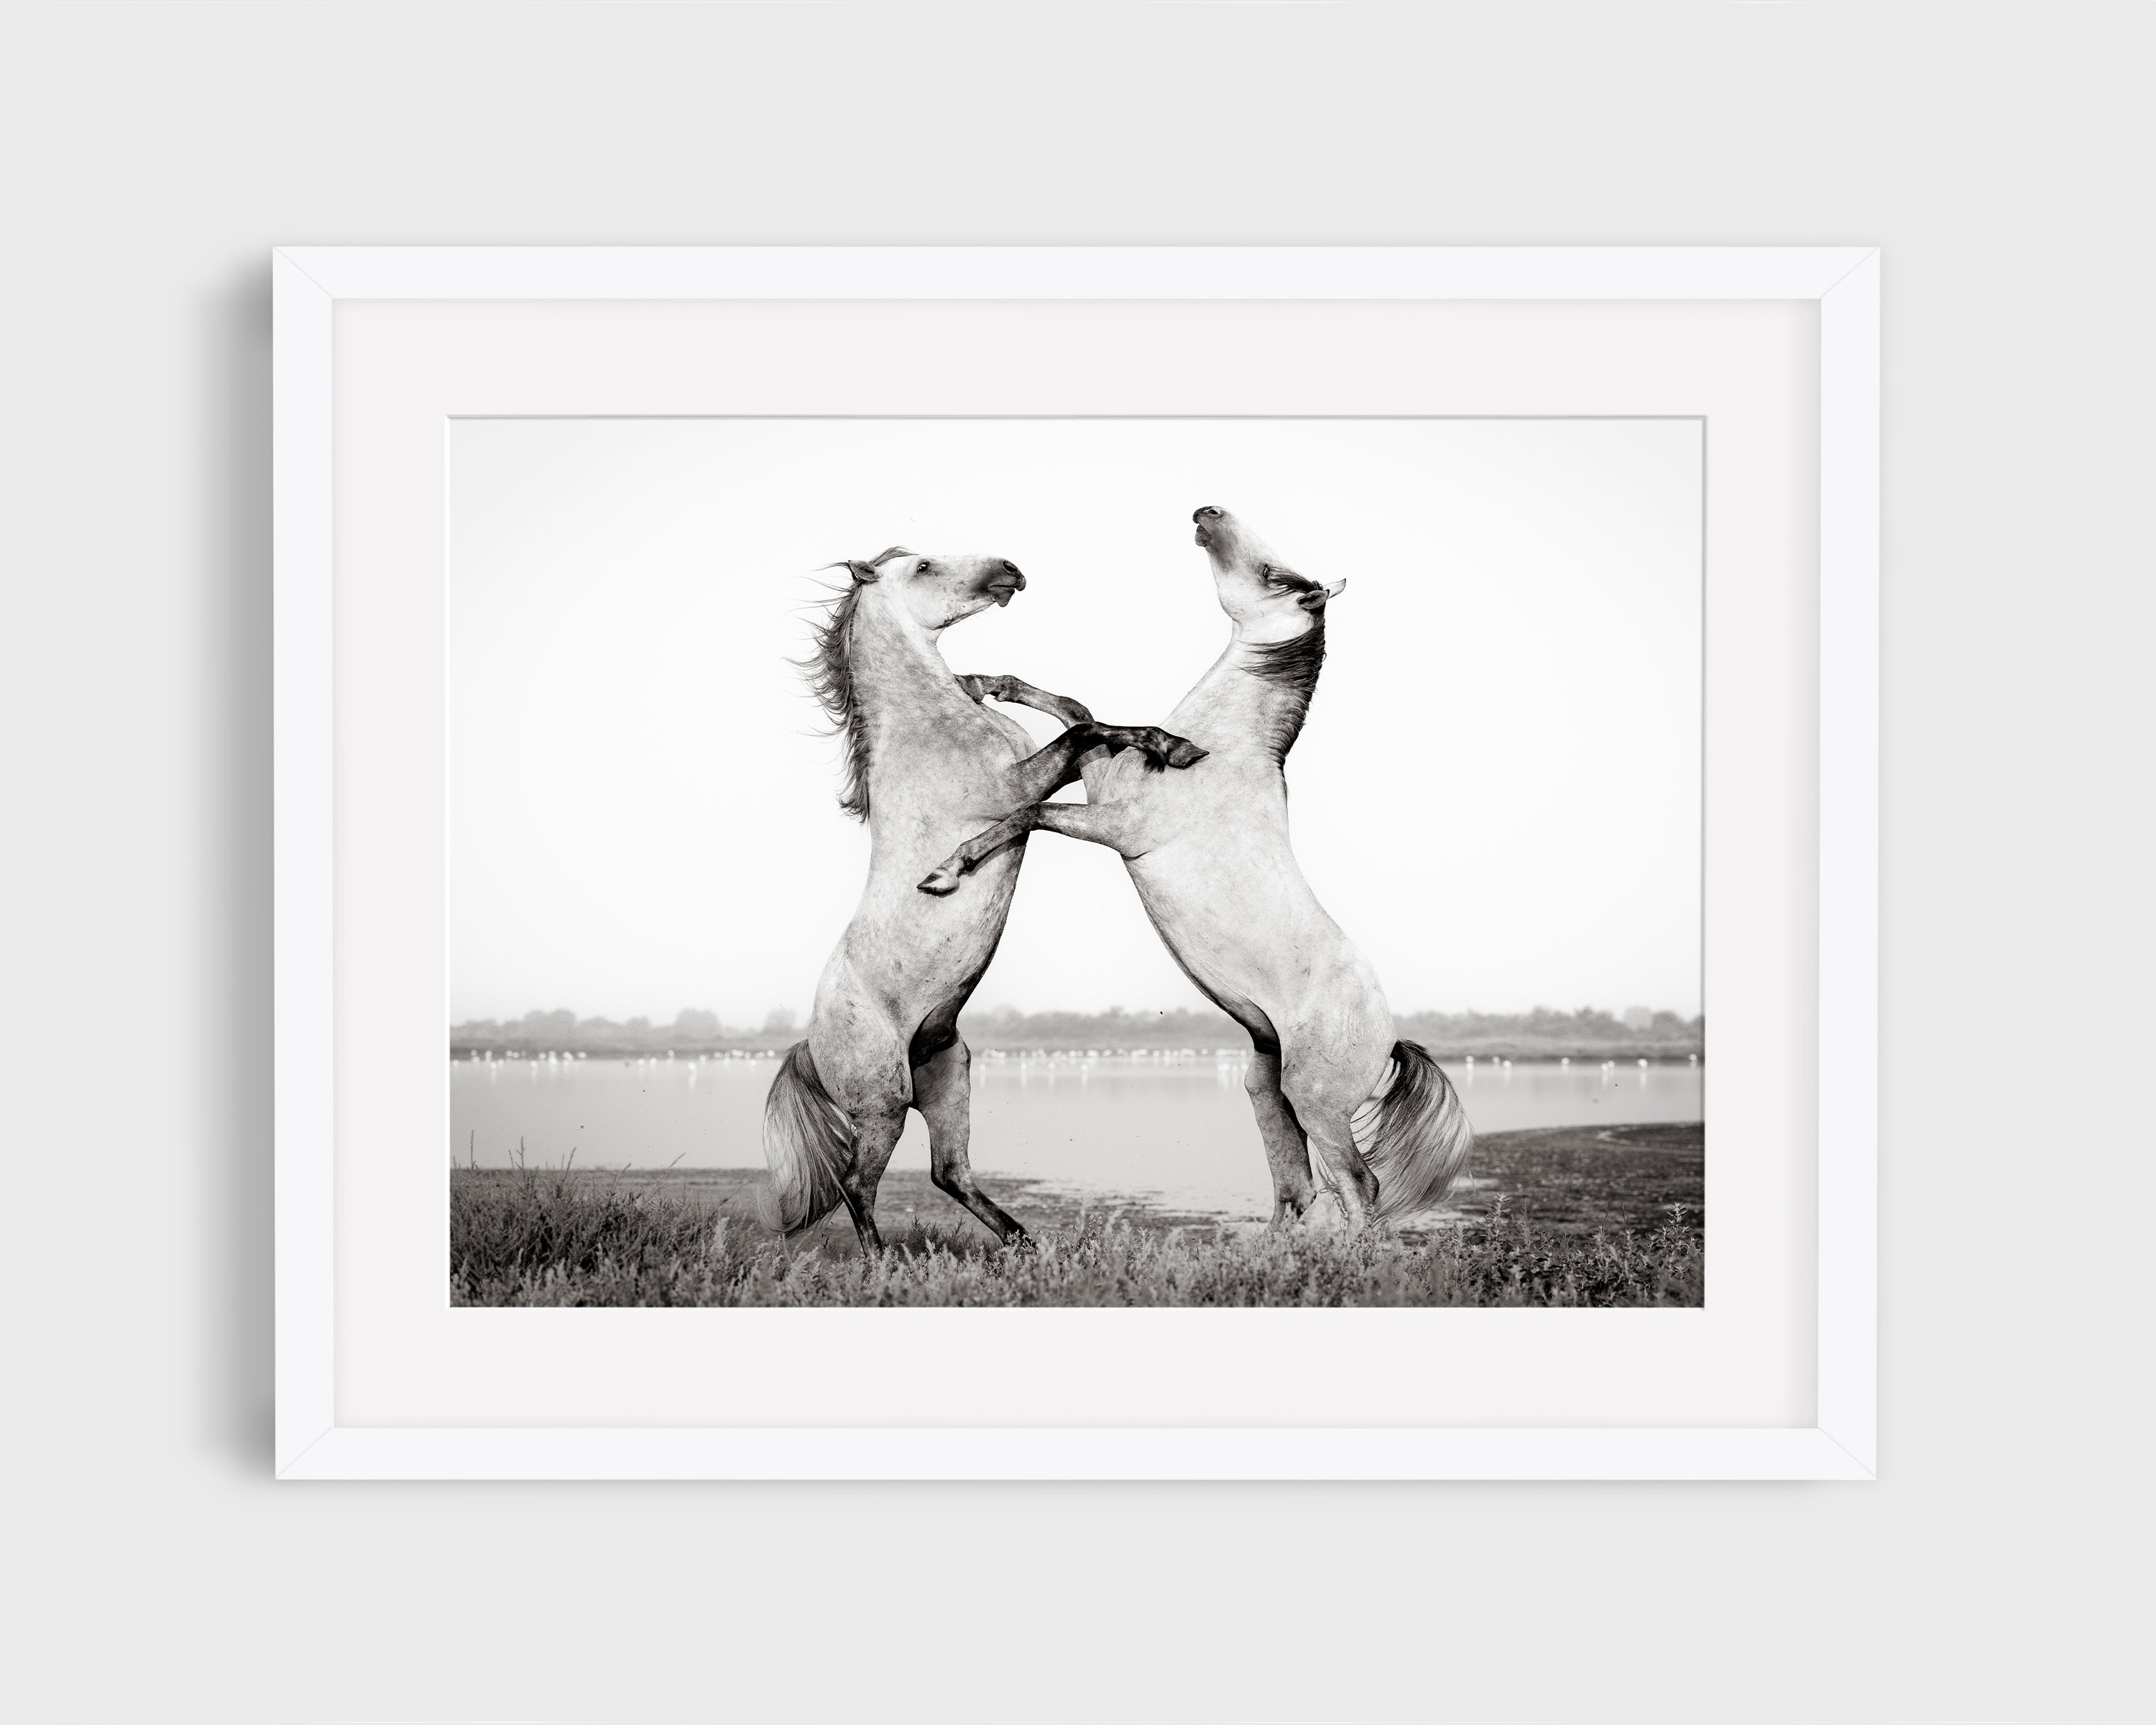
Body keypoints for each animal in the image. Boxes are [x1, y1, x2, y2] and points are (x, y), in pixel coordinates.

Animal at [761, 545, 1206, 1251]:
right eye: (921, 566)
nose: (1010, 570)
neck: (928, 731)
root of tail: (811, 1044)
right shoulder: (1018, 785)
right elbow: (1085, 732)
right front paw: (1176, 746)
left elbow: (1085, 719)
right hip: (884, 1103)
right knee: (858, 1183)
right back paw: (886, 1263)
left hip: (948, 1078)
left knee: (950, 1172)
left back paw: (1027, 1243)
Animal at [918, 508, 1470, 1234]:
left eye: (1273, 574)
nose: (1208, 513)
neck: (1221, 753)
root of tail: (1388, 1038)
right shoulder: (1102, 780)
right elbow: (1080, 713)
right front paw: (980, 684)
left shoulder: (1115, 826)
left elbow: (1031, 809)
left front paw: (947, 870)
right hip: (1268, 1088)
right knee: (1297, 1190)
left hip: (1315, 1102)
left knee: (1358, 1186)